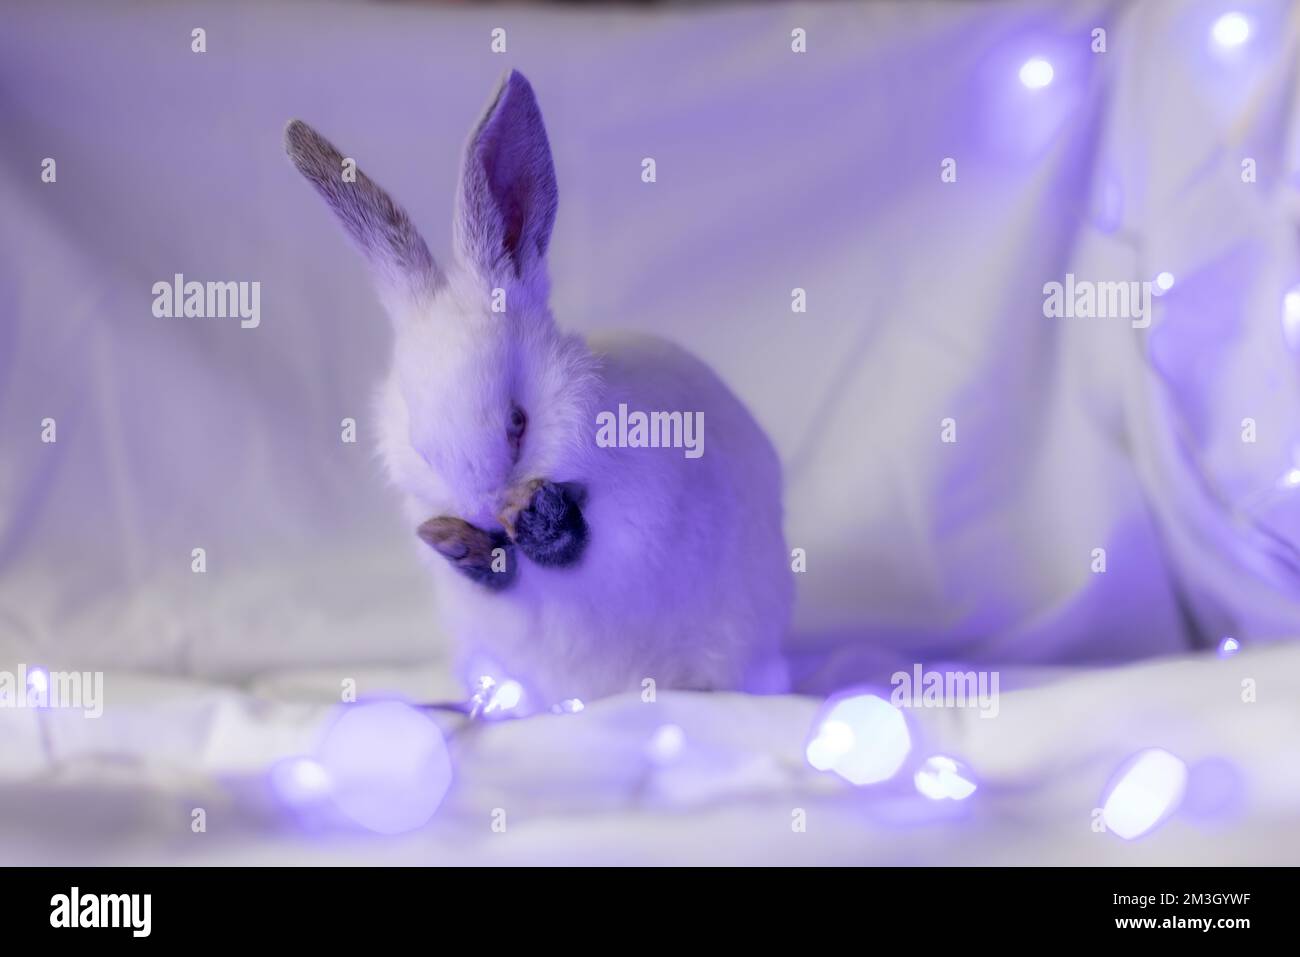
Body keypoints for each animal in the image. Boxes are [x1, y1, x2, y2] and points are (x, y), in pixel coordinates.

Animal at [285, 70, 792, 710]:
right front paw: (457, 542)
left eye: (518, 422)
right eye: (421, 445)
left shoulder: (635, 515)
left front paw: (537, 518)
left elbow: (583, 548)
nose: (485, 511)